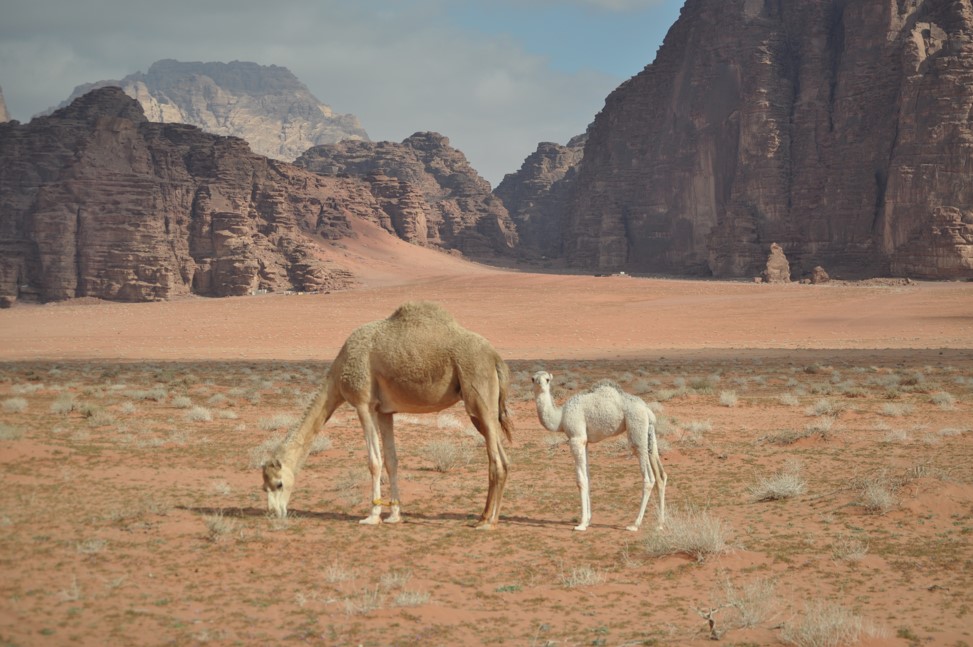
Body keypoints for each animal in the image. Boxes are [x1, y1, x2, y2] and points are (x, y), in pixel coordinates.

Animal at [532, 372, 668, 536]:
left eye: (547, 379)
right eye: (533, 379)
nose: (540, 384)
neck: (561, 418)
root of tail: (647, 410)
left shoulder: (576, 438)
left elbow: (580, 480)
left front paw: (581, 524)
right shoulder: (585, 441)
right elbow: (588, 478)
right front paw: (588, 520)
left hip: (637, 429)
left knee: (648, 477)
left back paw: (635, 524)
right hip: (650, 433)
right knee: (661, 475)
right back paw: (660, 524)